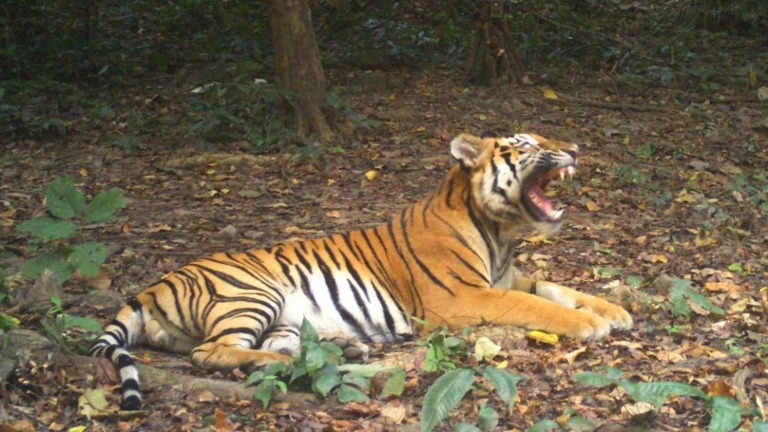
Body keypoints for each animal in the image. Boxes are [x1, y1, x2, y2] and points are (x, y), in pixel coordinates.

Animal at [90, 132, 632, 412]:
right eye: (525, 143)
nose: (576, 150)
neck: (501, 233)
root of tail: (156, 284)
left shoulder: (506, 279)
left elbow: (554, 286)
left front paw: (616, 311)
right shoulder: (465, 298)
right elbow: (537, 304)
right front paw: (590, 324)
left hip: (282, 318)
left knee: (270, 349)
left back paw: (346, 350)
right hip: (252, 293)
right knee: (212, 353)